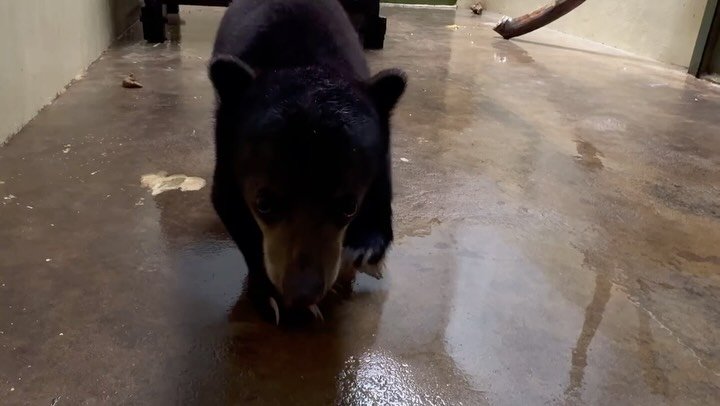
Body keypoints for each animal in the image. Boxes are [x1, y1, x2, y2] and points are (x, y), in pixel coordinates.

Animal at [208, 0, 406, 324]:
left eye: (348, 206)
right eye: (264, 204)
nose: (303, 292)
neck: (303, 62)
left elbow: (380, 182)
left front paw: (366, 245)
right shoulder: (226, 150)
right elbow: (231, 208)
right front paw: (269, 294)